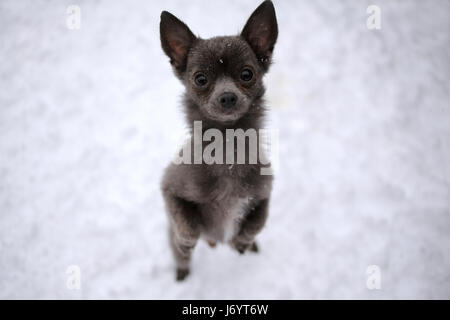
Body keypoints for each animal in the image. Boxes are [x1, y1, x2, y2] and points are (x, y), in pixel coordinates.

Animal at [160, 0, 276, 280]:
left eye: (247, 74)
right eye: (200, 79)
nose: (227, 97)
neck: (228, 149)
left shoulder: (264, 194)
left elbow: (257, 222)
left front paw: (241, 242)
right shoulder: (169, 188)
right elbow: (188, 225)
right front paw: (187, 240)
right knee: (181, 254)